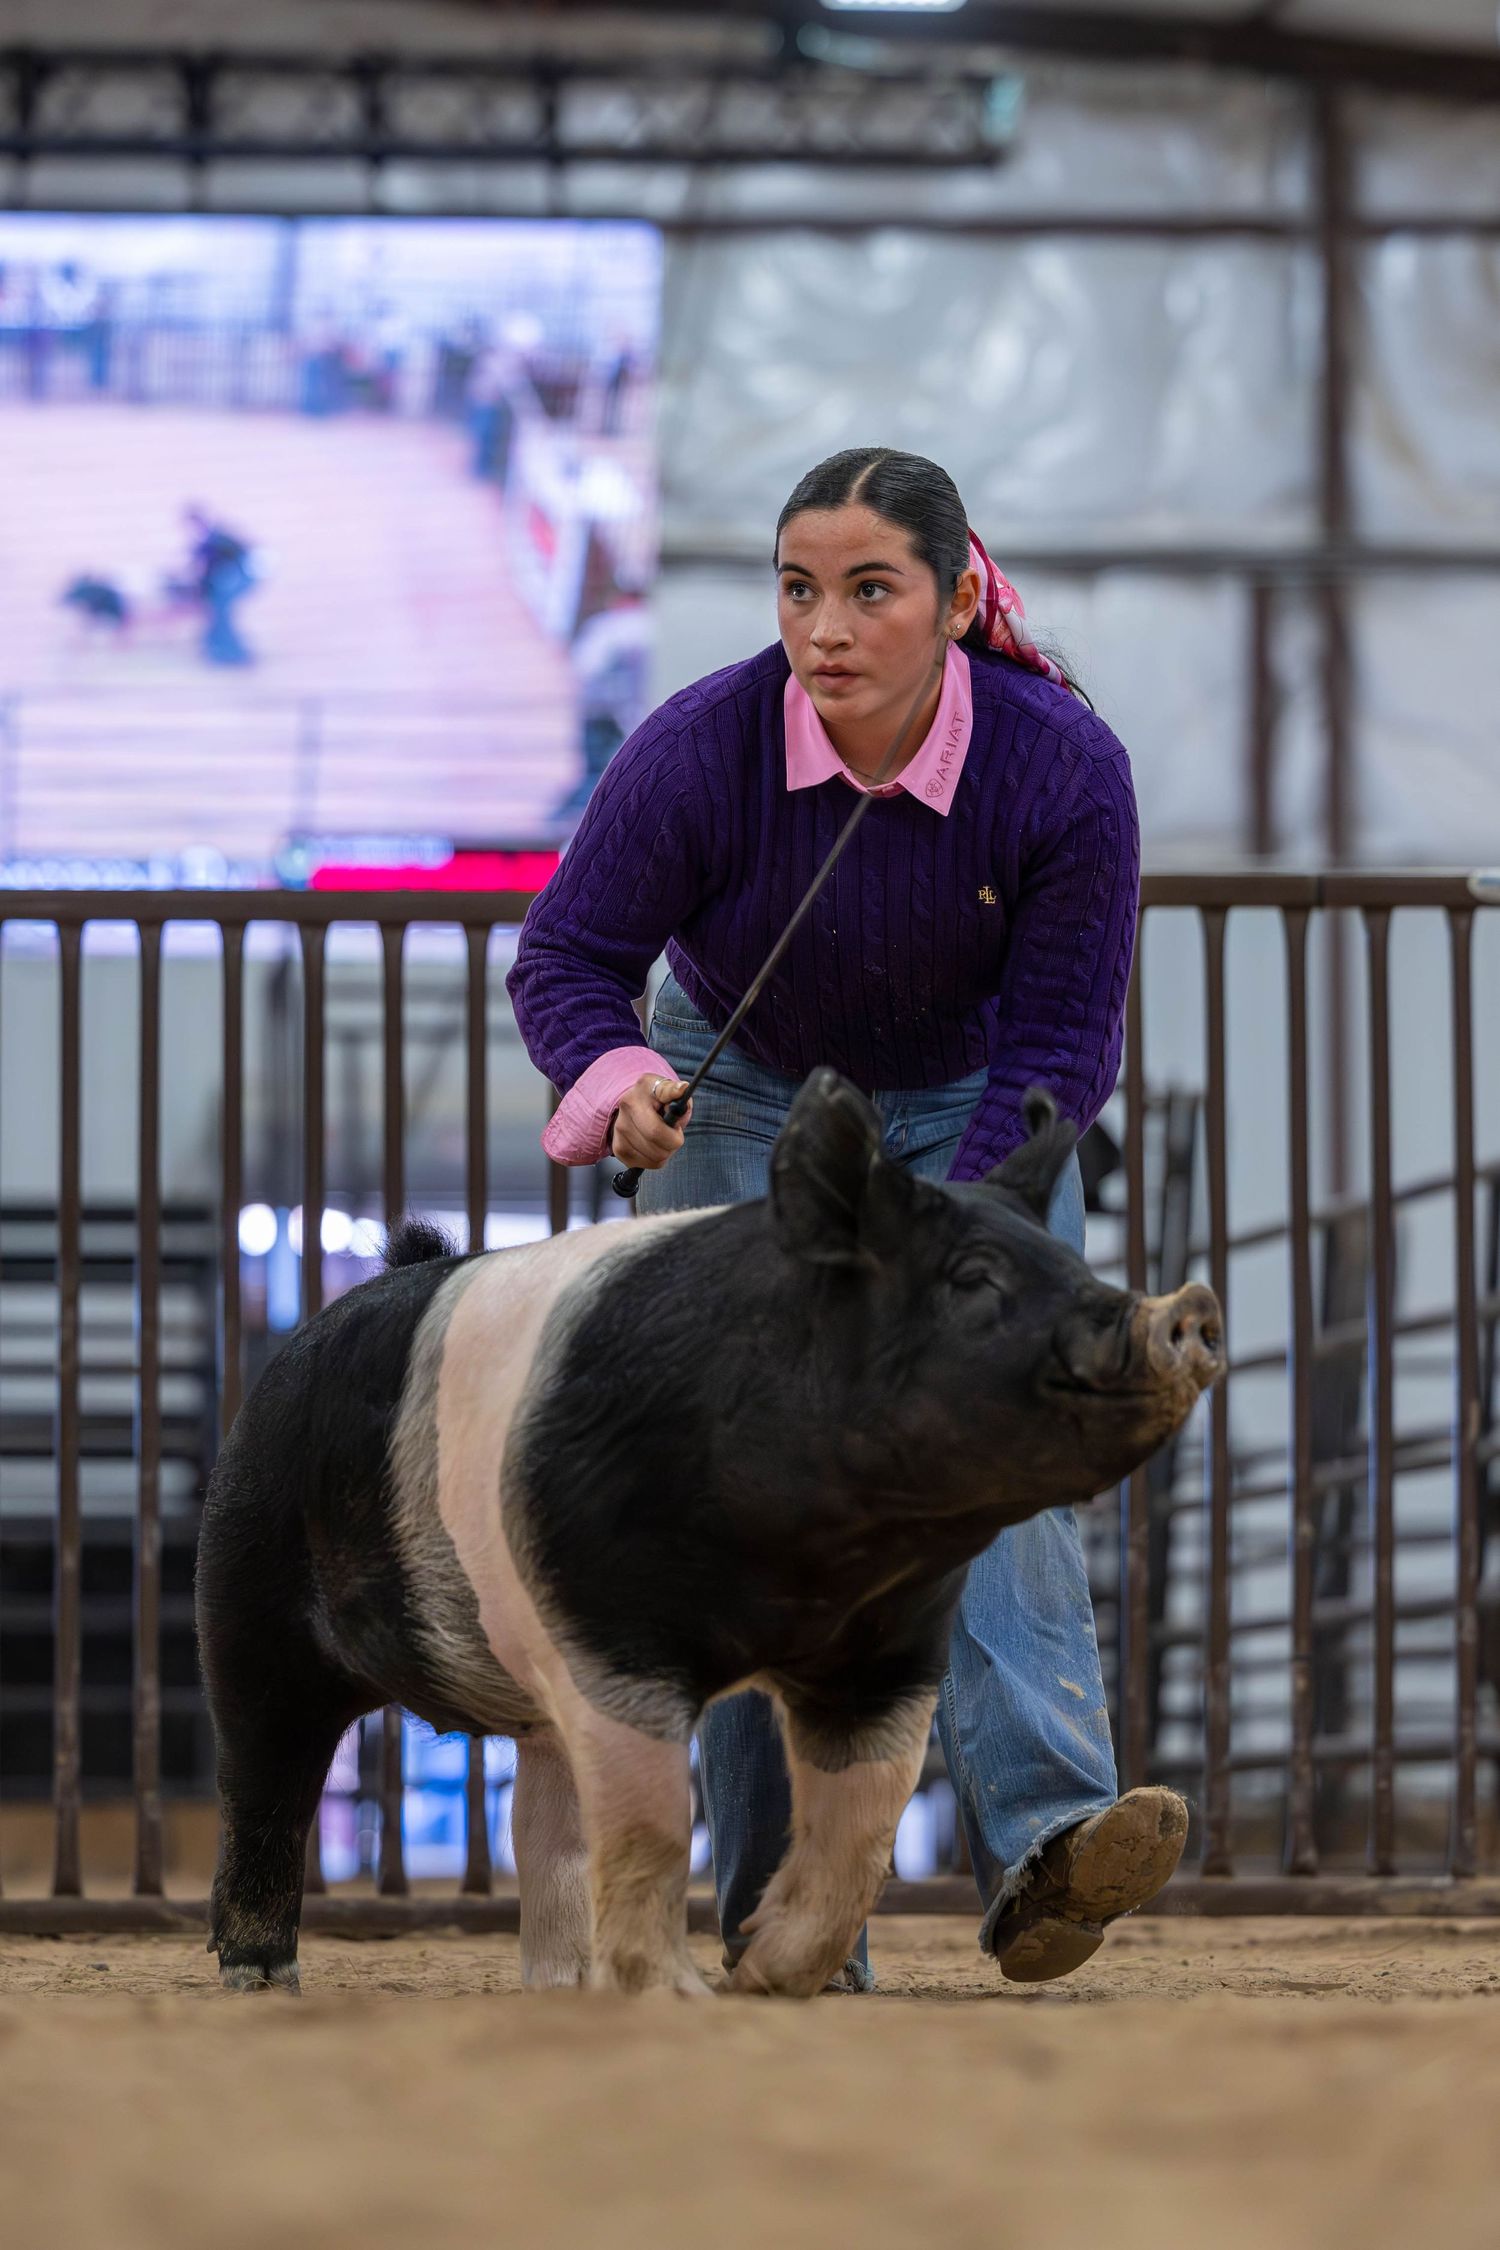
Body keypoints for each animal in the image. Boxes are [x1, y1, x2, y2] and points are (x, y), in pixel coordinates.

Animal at [195, 1072, 1222, 1999]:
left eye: (1073, 1265)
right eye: (971, 1278)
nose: (1188, 1307)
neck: (809, 1566)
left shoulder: (889, 1649)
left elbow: (863, 1829)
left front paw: (770, 1976)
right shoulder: (613, 1638)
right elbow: (655, 1826)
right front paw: (678, 1994)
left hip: (529, 1688)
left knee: (548, 1827)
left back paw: (562, 1987)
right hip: (248, 1599)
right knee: (261, 1785)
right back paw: (262, 1977)